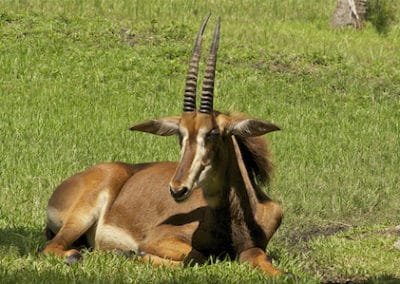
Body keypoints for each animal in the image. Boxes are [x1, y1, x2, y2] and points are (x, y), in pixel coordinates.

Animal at [42, 14, 282, 276]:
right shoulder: (157, 238)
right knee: (51, 247)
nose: (178, 189)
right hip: (82, 215)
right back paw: (82, 256)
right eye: (180, 133)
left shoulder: (252, 248)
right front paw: (131, 254)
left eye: (213, 133)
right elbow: (196, 256)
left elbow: (265, 262)